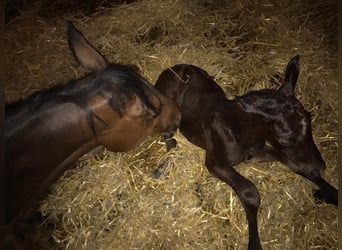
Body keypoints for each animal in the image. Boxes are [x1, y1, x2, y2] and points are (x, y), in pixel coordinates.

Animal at [154, 55, 336, 250]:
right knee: (167, 134)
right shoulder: (215, 162)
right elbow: (250, 192)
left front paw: (330, 193)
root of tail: (169, 70)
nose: (321, 166)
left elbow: (295, 164)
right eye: (285, 140)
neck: (241, 131)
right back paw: (167, 161)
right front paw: (254, 244)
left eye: (310, 120)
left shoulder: (256, 153)